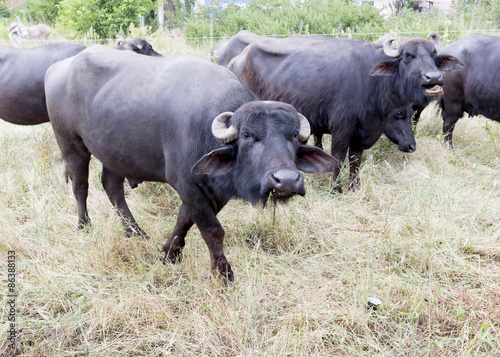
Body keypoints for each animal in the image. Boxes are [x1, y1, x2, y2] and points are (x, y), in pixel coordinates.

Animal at [45, 46, 338, 280]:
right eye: (247, 136)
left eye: (293, 136)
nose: (286, 180)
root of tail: (56, 69)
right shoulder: (186, 183)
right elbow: (211, 229)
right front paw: (223, 273)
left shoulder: (214, 188)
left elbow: (185, 219)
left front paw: (169, 253)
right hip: (71, 145)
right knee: (80, 186)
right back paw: (84, 226)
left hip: (115, 154)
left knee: (112, 187)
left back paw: (134, 231)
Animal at [230, 35, 464, 192]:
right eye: (408, 56)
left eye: (433, 55)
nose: (434, 77)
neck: (371, 83)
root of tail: (238, 59)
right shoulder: (341, 130)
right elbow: (338, 158)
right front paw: (336, 189)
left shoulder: (361, 134)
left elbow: (355, 161)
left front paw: (354, 186)